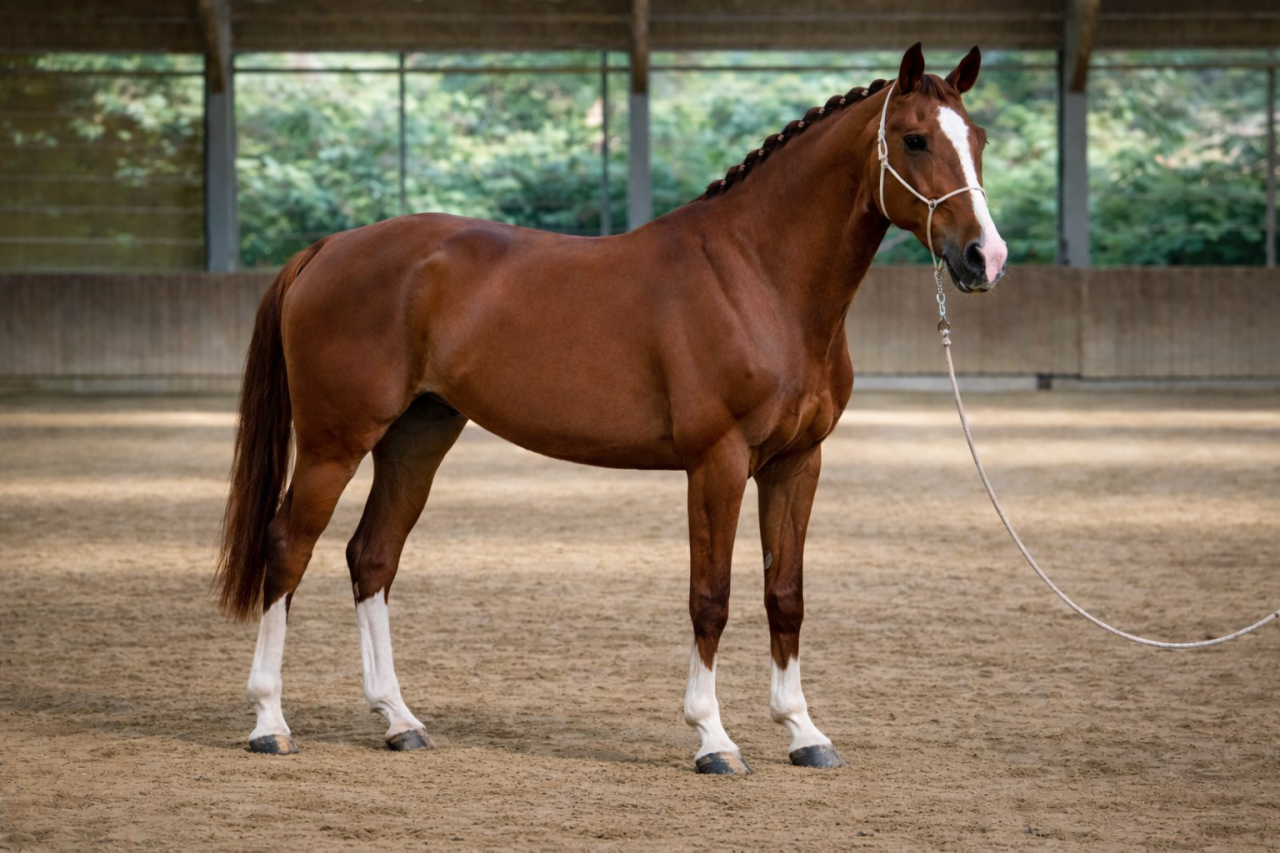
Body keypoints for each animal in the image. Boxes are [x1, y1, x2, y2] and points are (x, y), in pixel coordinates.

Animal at [215, 42, 1008, 775]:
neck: (757, 276)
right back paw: (269, 722)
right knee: (288, 548)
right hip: (335, 442)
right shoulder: (717, 463)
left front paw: (804, 732)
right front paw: (714, 739)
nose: (984, 257)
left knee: (372, 555)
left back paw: (398, 720)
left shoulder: (796, 463)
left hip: (417, 437)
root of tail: (327, 249)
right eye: (914, 138)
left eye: (977, 138)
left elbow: (785, 593)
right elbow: (711, 596)